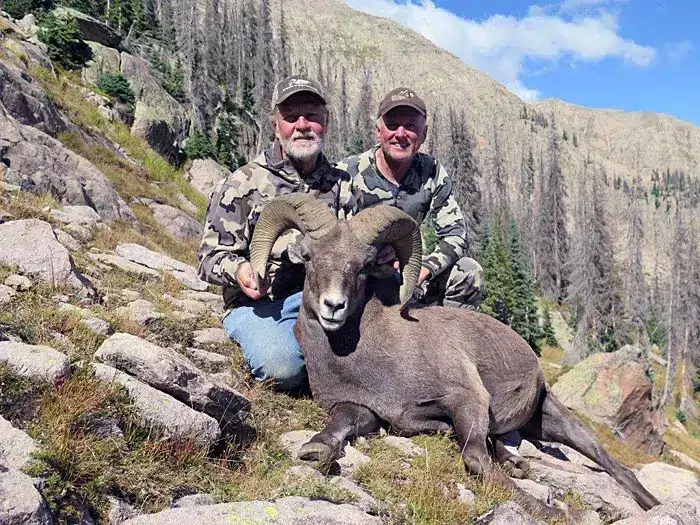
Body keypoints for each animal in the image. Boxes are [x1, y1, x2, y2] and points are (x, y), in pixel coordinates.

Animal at [249, 193, 660, 517]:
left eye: (363, 266)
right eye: (309, 257)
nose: (333, 306)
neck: (368, 355)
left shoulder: (467, 400)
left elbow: (475, 458)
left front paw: (558, 513)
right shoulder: (365, 410)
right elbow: (343, 423)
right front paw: (315, 448)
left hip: (560, 419)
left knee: (613, 465)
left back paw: (652, 503)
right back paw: (516, 461)